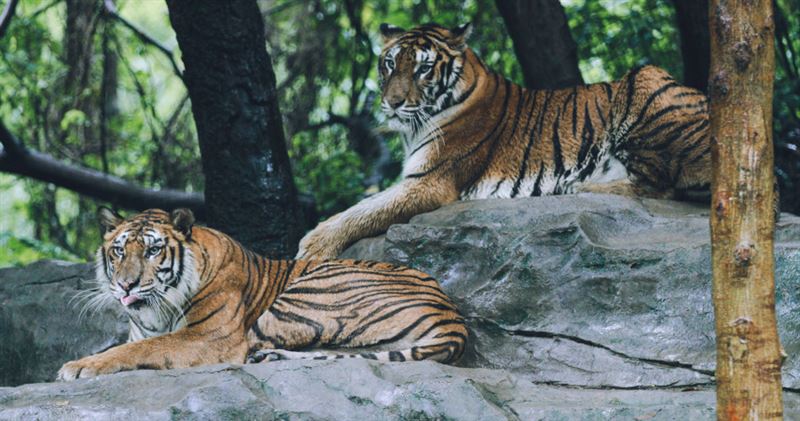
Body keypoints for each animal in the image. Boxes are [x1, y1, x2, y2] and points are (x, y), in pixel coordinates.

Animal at [57, 207, 466, 381]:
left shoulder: (210, 337)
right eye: (118, 251)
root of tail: (454, 317)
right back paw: (271, 359)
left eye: (153, 250)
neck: (154, 312)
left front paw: (77, 367)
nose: (126, 285)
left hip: (298, 299)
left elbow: (141, 349)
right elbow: (131, 344)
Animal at [295, 22, 712, 260]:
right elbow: (361, 206)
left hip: (645, 81)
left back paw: (579, 185)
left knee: (661, 186)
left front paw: (311, 247)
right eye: (389, 64)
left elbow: (361, 210)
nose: (393, 103)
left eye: (424, 68)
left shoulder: (428, 182)